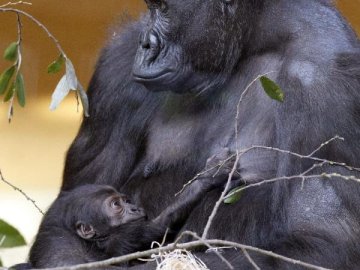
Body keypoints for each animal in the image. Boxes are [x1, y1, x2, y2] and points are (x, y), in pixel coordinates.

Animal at [28, 149, 236, 268]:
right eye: (116, 205)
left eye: (125, 200)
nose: (134, 208)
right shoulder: (124, 237)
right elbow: (155, 227)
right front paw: (209, 176)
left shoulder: (56, 209)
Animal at [62, 0, 360, 268]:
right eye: (152, 6)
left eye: (165, 8)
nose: (145, 44)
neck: (254, 40)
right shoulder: (116, 65)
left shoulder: (326, 82)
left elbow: (317, 244)